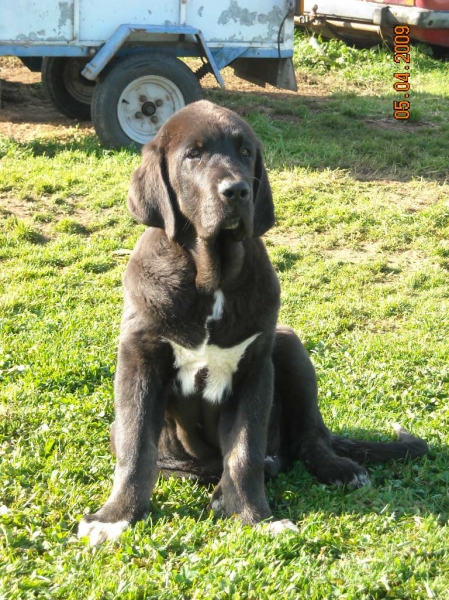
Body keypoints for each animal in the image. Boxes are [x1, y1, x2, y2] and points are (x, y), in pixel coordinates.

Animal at [78, 102, 428, 544]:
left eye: (245, 153)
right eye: (193, 155)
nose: (237, 190)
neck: (211, 278)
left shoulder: (255, 370)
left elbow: (244, 451)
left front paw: (254, 518)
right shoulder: (139, 359)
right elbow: (136, 447)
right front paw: (116, 516)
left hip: (289, 345)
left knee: (309, 438)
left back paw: (332, 468)